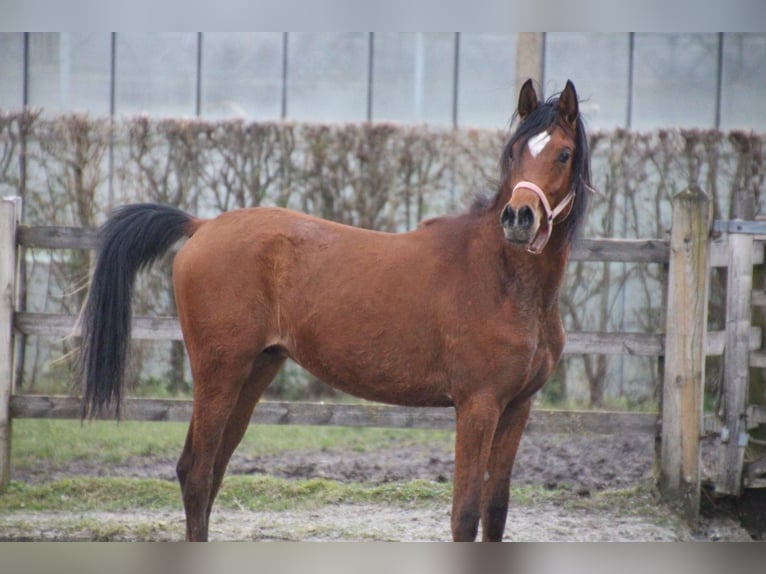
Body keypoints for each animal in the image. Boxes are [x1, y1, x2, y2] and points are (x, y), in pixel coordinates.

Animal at [77, 79, 591, 542]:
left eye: (563, 154)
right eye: (515, 152)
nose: (519, 218)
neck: (503, 279)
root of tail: (201, 225)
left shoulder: (516, 407)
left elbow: (495, 512)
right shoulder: (477, 405)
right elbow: (465, 516)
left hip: (253, 374)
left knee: (211, 473)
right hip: (219, 374)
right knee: (196, 473)